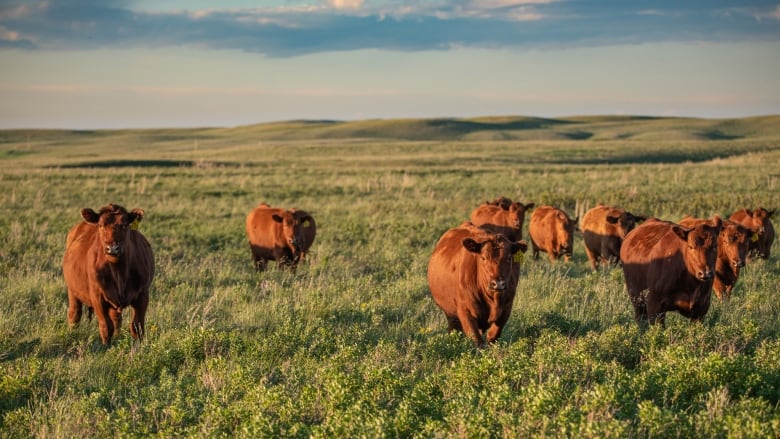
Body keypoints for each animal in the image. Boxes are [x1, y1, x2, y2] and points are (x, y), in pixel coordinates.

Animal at [62, 205, 154, 346]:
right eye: (101, 225)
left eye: (124, 225)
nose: (112, 248)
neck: (119, 272)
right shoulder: (97, 296)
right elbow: (106, 326)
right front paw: (105, 347)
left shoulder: (143, 294)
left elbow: (137, 325)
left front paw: (138, 346)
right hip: (72, 290)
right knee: (74, 313)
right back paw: (72, 334)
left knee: (116, 319)